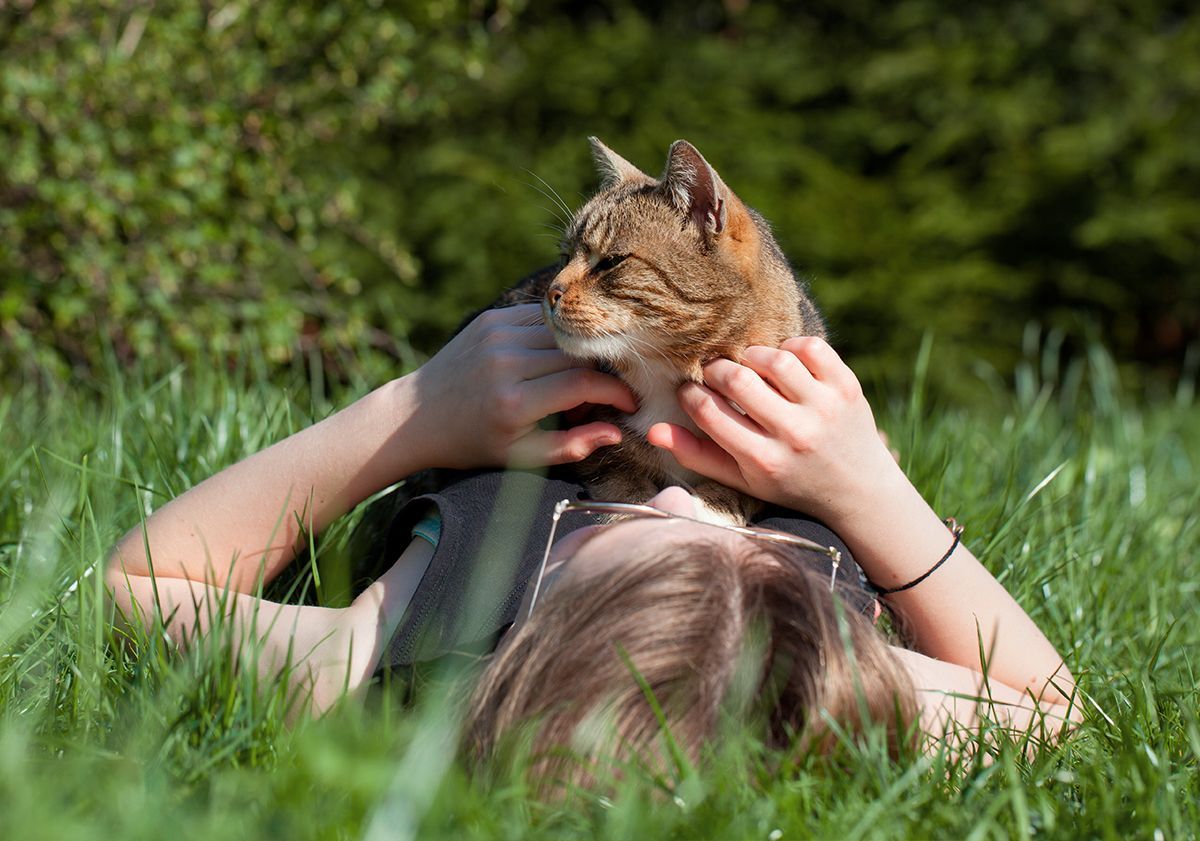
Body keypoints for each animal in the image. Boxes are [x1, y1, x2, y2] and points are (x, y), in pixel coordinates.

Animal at [494, 137, 825, 525]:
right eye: (564, 257)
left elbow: (751, 488)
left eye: (611, 262)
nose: (550, 292)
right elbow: (619, 479)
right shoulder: (601, 455)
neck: (665, 373)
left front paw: (713, 506)